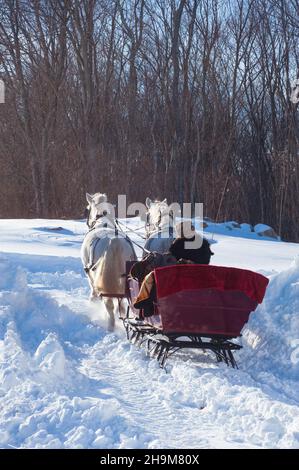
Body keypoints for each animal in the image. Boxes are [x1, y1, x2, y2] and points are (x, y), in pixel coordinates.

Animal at [82, 193, 138, 328]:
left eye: (87, 208)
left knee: (110, 306)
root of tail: (115, 242)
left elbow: (93, 290)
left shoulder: (90, 275)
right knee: (120, 301)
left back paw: (110, 326)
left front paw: (92, 302)